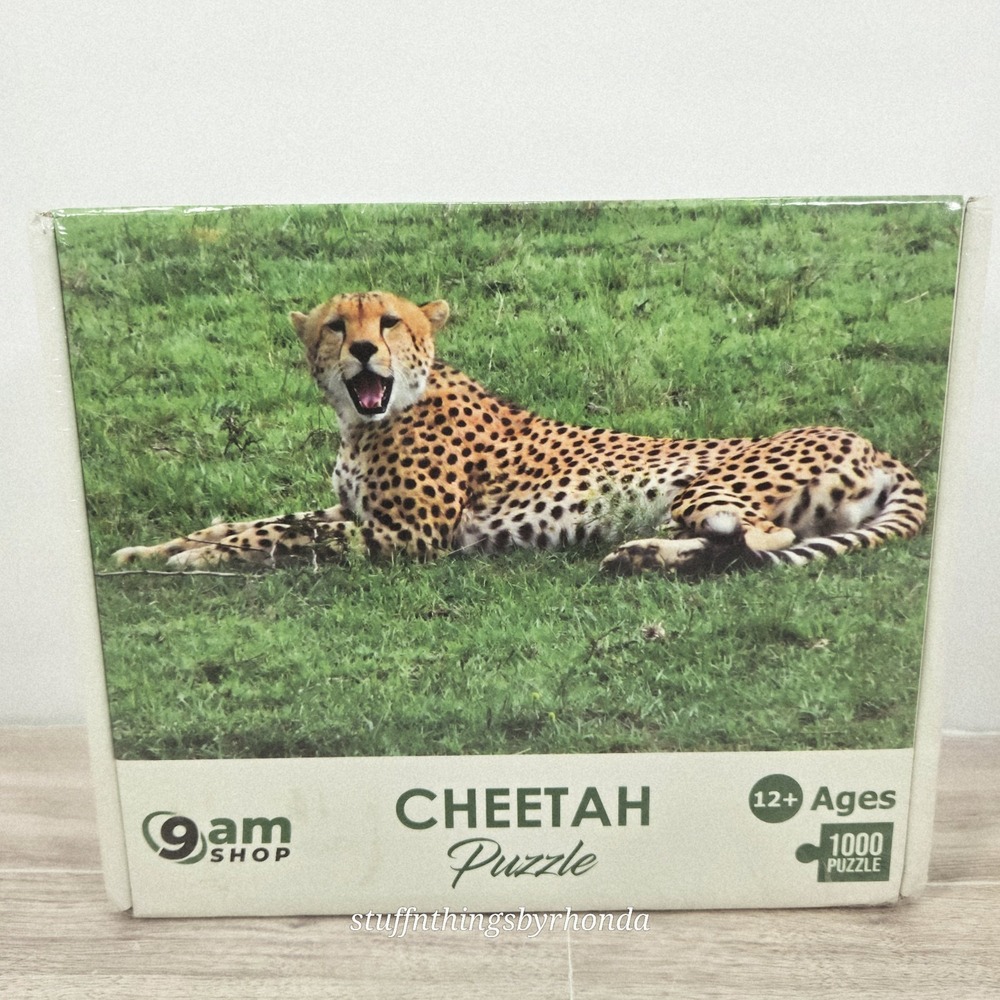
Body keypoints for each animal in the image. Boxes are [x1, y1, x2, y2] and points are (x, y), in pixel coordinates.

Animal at [113, 290, 927, 575]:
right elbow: (254, 520)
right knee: (743, 542)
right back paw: (642, 555)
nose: (365, 351)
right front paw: (155, 549)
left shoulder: (408, 537)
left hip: (704, 487)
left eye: (390, 322)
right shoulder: (354, 509)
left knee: (762, 539)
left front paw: (192, 560)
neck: (365, 421)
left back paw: (648, 554)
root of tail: (873, 443)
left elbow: (281, 535)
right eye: (336, 326)